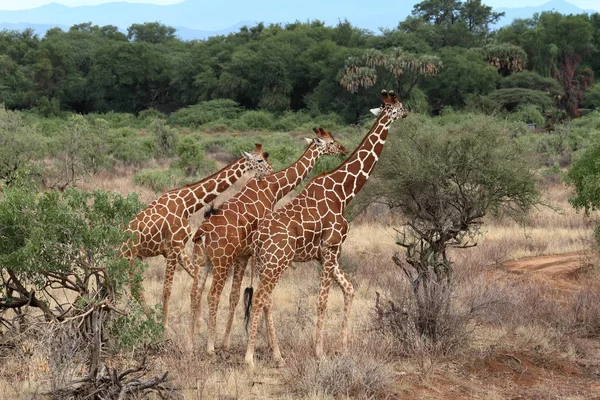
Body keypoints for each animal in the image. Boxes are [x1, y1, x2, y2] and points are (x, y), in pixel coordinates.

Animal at [119, 145, 272, 332]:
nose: (271, 170)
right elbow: (167, 289)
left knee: (134, 288)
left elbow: (195, 279)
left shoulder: (179, 248)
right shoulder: (173, 247)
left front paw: (198, 323)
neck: (187, 204)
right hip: (128, 258)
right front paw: (166, 327)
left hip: (136, 258)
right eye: (259, 160)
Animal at [190, 126, 350, 352]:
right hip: (222, 261)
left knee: (194, 293)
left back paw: (190, 342)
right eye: (330, 142)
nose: (343, 149)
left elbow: (236, 296)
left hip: (201, 260)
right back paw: (210, 348)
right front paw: (263, 344)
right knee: (212, 295)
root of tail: (202, 232)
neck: (274, 189)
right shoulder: (253, 253)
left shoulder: (245, 254)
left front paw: (230, 342)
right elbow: (258, 296)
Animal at [244, 89, 408, 368]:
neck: (343, 192)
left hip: (266, 262)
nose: (408, 112)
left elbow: (349, 290)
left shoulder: (326, 254)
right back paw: (249, 358)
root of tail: (258, 237)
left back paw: (278, 355)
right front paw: (318, 351)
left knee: (266, 299)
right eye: (397, 107)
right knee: (259, 298)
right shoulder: (331, 248)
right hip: (277, 262)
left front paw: (343, 347)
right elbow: (322, 301)